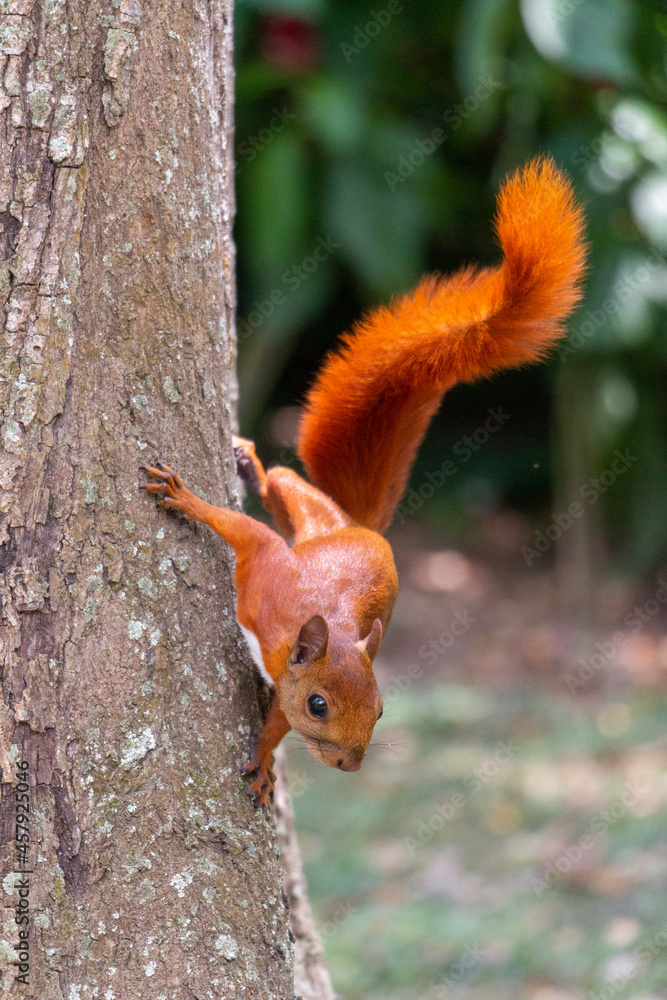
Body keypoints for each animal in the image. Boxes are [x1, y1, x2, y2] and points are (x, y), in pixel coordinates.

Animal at [141, 158, 584, 812]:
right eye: (320, 704)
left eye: (380, 710)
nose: (349, 765)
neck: (288, 635)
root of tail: (358, 527)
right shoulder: (266, 574)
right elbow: (242, 530)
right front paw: (186, 497)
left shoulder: (281, 663)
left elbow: (276, 720)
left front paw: (264, 760)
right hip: (309, 515)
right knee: (279, 487)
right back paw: (248, 463)